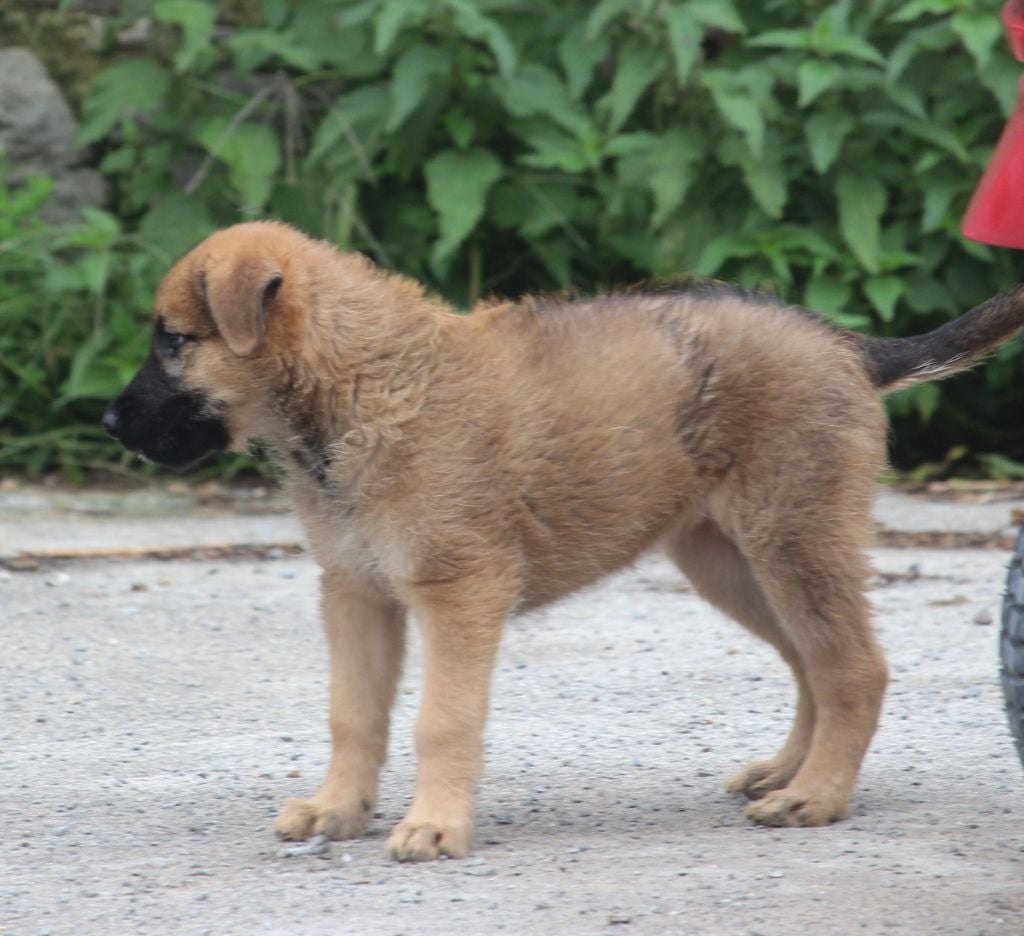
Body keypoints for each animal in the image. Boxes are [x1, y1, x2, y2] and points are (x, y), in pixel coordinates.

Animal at [103, 221, 1024, 860]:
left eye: (174, 340)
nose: (107, 423)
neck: (361, 383)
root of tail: (845, 343)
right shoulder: (355, 591)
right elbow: (352, 715)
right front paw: (338, 810)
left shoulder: (458, 591)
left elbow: (441, 720)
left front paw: (435, 826)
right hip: (730, 560)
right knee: (812, 663)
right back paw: (789, 772)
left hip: (793, 537)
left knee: (853, 669)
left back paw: (819, 796)